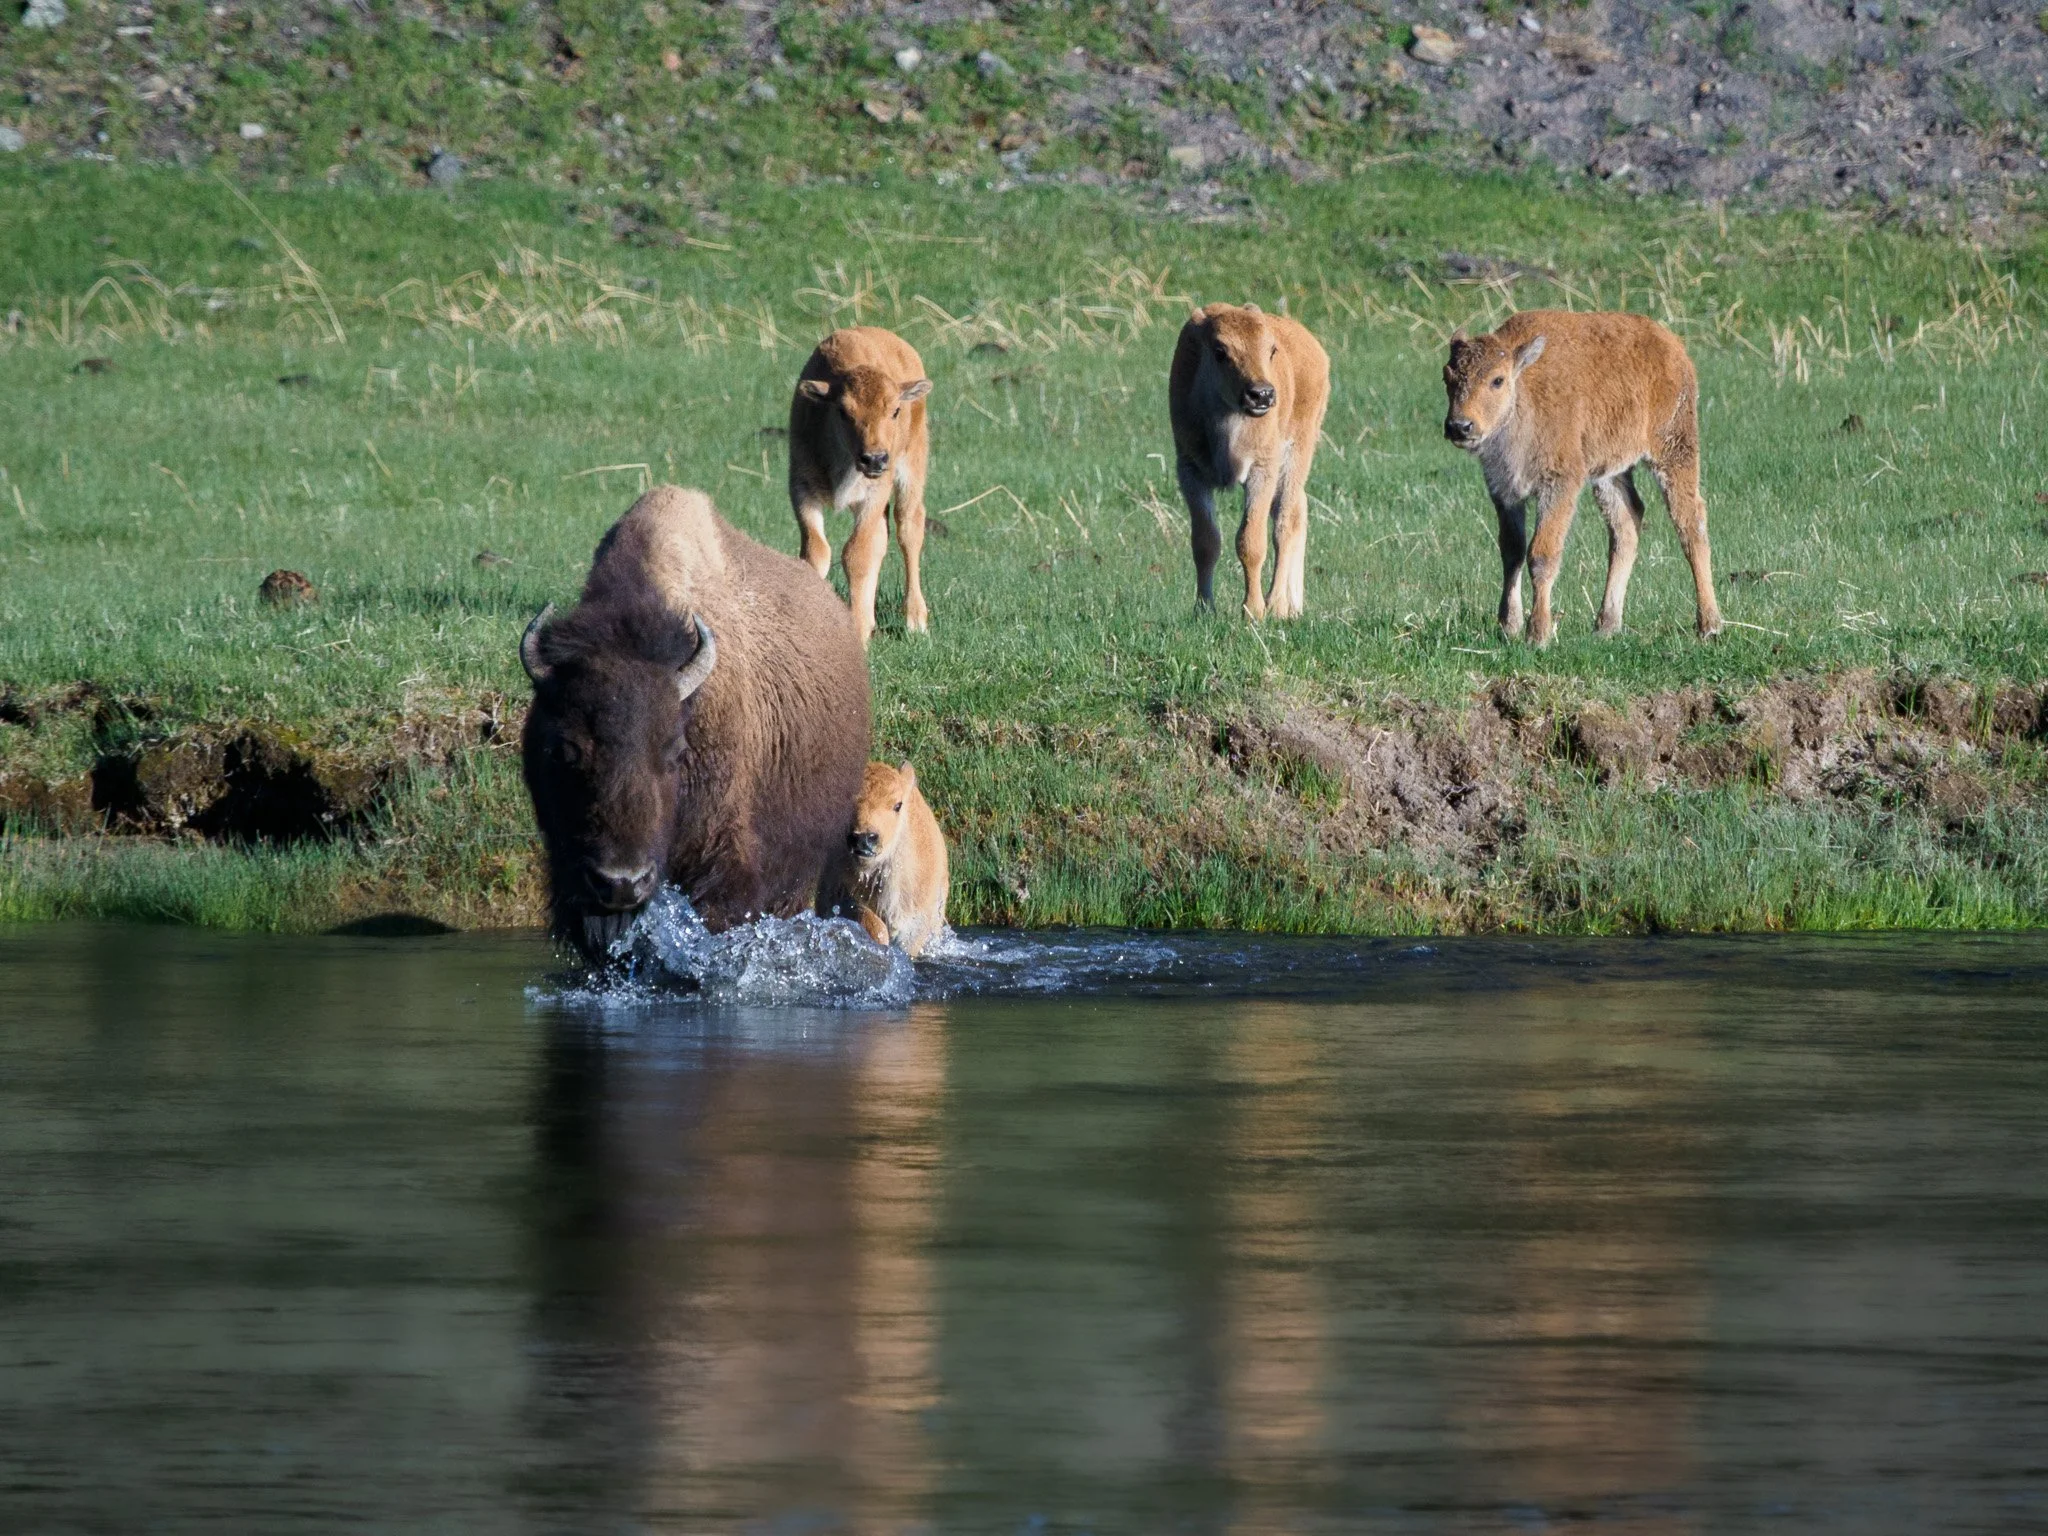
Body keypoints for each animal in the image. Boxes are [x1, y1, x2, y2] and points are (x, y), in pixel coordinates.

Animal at [788, 326, 933, 648]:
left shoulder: (873, 496)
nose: (874, 459)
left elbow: (856, 554)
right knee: (882, 537)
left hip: (911, 470)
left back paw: (915, 620)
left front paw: (857, 629)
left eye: (895, 411)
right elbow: (817, 551)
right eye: (843, 411)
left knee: (909, 529)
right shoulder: (802, 490)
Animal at [1168, 302, 1331, 620]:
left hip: (1297, 452)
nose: (1262, 394)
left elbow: (1250, 541)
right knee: (1299, 509)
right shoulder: (1190, 471)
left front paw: (1253, 611)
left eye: (1271, 349)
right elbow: (1205, 541)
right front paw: (1203, 608)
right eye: (1219, 351)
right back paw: (1293, 605)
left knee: (1285, 523)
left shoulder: (1262, 470)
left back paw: (1277, 605)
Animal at [1442, 309, 1722, 646]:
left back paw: (1709, 624)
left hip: (1673, 449)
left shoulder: (1560, 484)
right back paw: (1606, 625)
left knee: (1689, 521)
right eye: (1447, 377)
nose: (1459, 426)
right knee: (1626, 523)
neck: (1523, 393)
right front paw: (1508, 626)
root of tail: (1672, 345)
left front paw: (1538, 634)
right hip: (1609, 472)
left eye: (1497, 380)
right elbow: (1512, 551)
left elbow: (1542, 554)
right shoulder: (1504, 491)